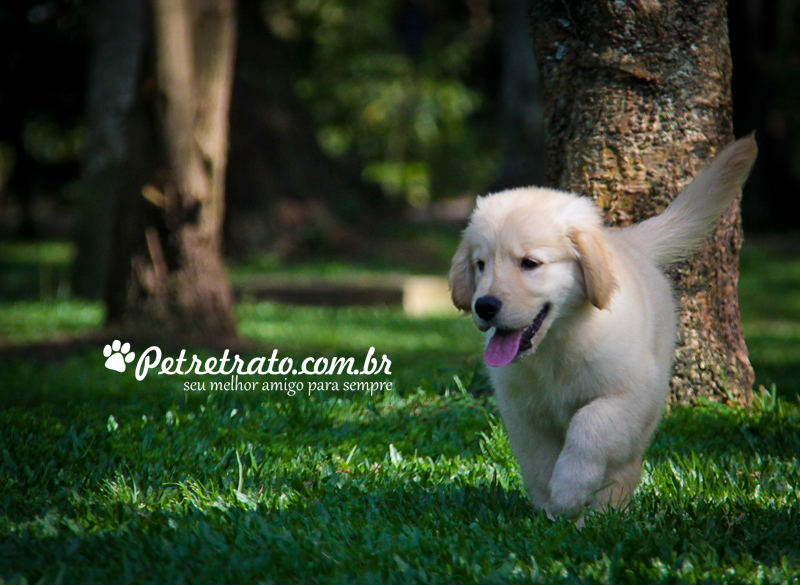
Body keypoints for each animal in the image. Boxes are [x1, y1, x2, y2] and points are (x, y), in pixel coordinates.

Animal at [450, 137, 756, 520]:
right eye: (480, 264)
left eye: (530, 263)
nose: (484, 306)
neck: (557, 345)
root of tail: (627, 243)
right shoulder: (523, 411)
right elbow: (538, 459)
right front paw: (551, 508)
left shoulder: (630, 392)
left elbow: (590, 426)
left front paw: (569, 489)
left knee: (624, 463)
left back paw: (607, 511)